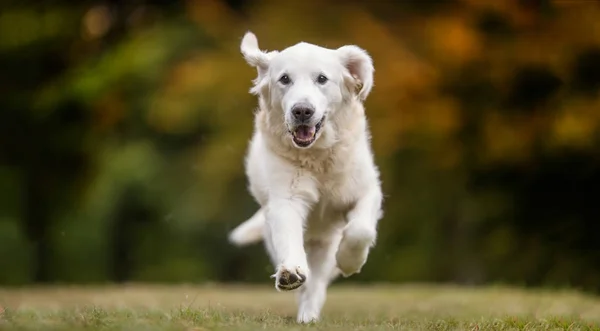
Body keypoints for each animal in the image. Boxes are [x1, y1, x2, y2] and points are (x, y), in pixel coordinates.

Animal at [227, 31, 382, 324]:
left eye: (321, 78)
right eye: (284, 79)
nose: (302, 111)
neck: (318, 157)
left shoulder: (367, 190)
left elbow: (361, 230)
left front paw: (349, 261)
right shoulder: (285, 201)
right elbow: (290, 237)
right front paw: (290, 272)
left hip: (325, 244)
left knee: (319, 280)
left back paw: (310, 312)